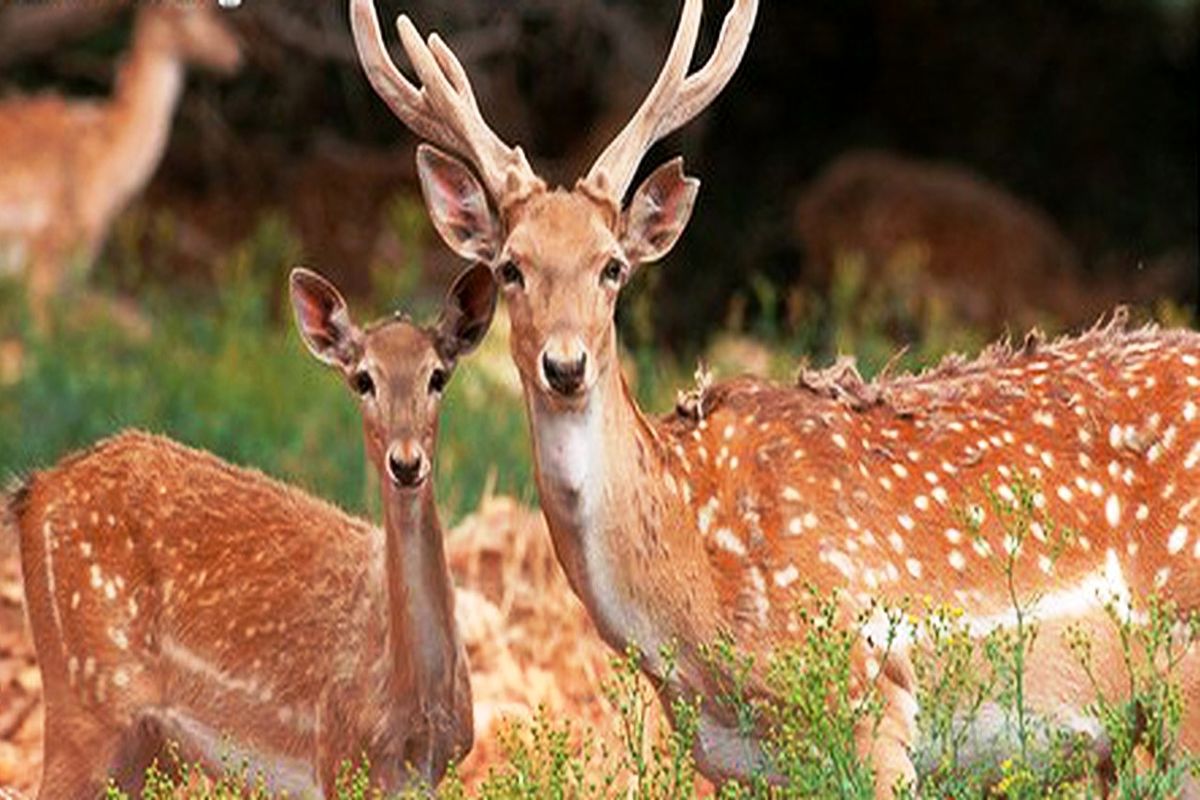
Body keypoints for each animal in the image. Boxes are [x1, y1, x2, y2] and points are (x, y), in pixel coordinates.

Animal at [2, 261, 494, 796]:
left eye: (438, 376)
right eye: (363, 379)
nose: (406, 463)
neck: (413, 708)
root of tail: (30, 492)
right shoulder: (338, 756)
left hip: (143, 743)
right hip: (84, 697)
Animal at [350, 0, 1200, 796]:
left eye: (613, 266)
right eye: (512, 268)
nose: (565, 364)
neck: (692, 610)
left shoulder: (872, 702)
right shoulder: (737, 764)